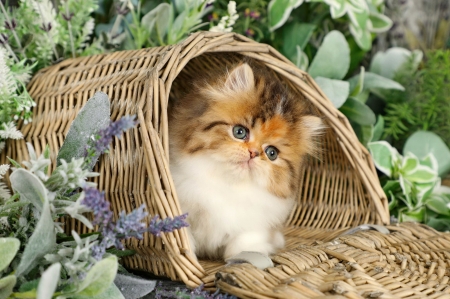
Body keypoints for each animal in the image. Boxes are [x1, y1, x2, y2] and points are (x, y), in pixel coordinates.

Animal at [169, 61, 324, 260]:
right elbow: (183, 231)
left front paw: (248, 255)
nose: (253, 153)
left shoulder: (255, 222)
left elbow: (246, 240)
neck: (227, 185)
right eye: (239, 132)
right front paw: (185, 252)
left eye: (271, 153)